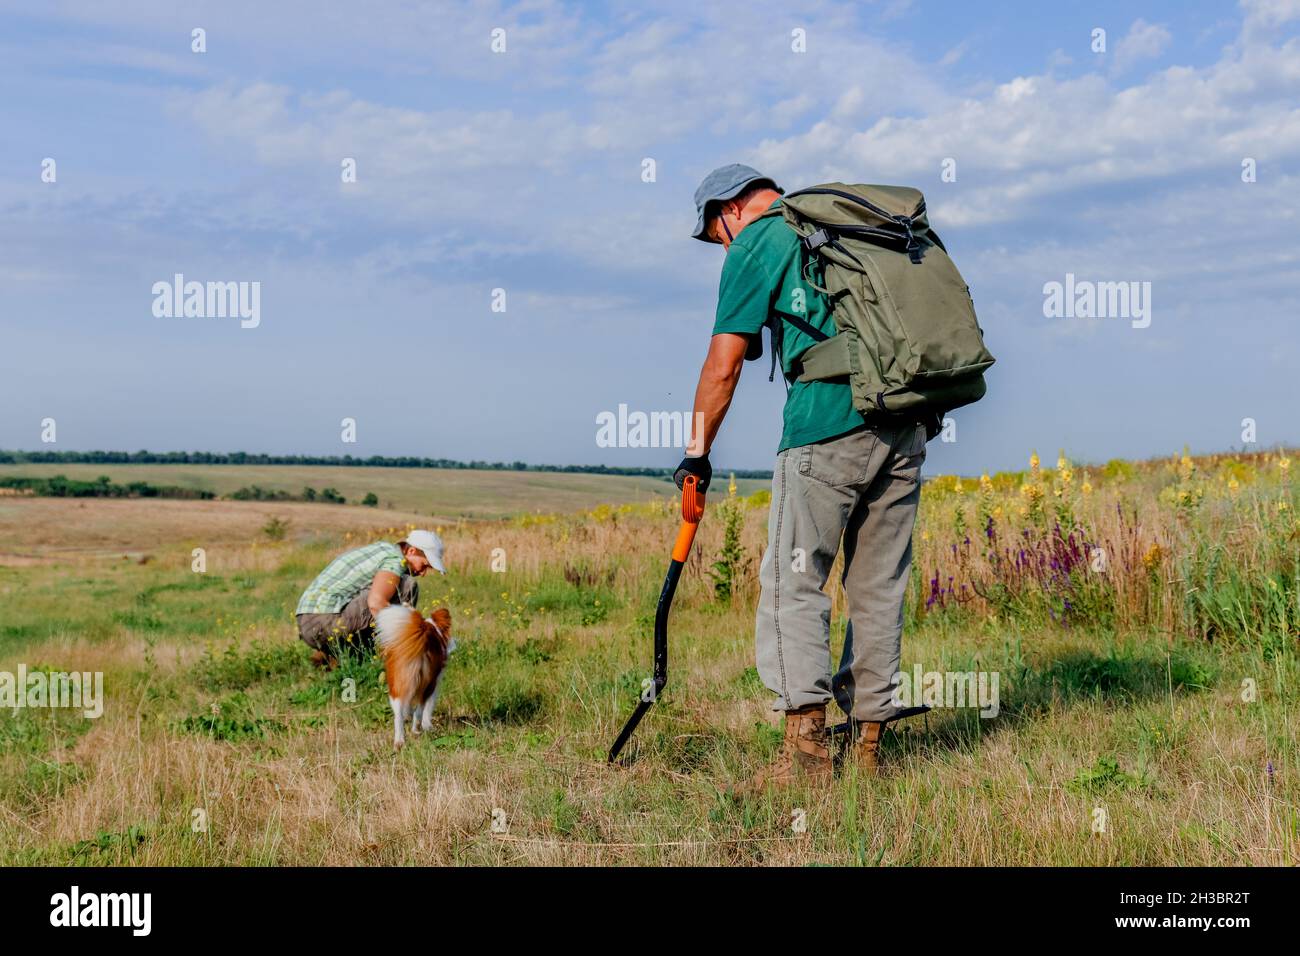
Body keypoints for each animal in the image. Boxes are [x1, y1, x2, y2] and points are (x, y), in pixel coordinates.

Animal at [374, 606, 454, 749]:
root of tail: (422, 631)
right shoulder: (435, 683)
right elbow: (428, 708)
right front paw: (427, 726)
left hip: (396, 683)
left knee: (398, 715)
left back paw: (399, 741)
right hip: (428, 683)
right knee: (420, 709)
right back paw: (416, 730)